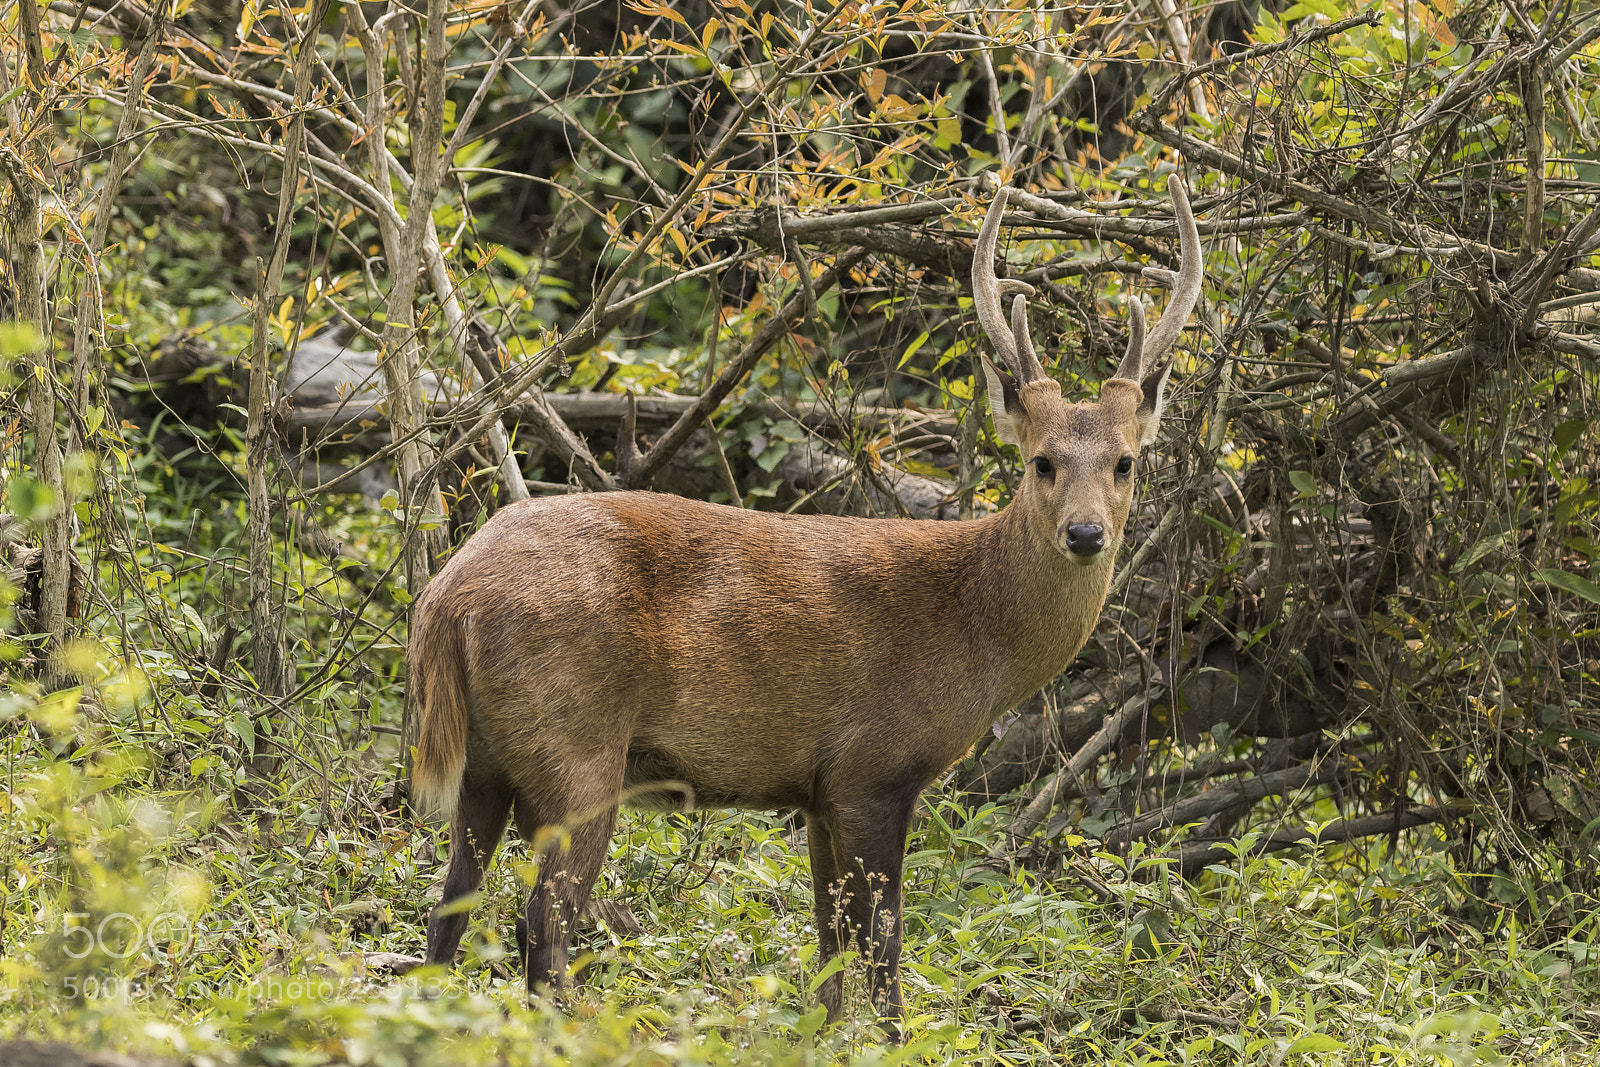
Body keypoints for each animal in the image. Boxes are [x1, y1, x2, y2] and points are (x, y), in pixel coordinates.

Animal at [408, 173, 1203, 1030]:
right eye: (1042, 462)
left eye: (1125, 461)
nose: (1086, 532)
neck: (974, 628)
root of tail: (447, 595)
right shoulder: (873, 766)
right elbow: (881, 937)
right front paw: (894, 1035)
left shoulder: (819, 788)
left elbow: (827, 937)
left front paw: (820, 1030)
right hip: (576, 744)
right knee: (543, 921)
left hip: (486, 761)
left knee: (450, 906)